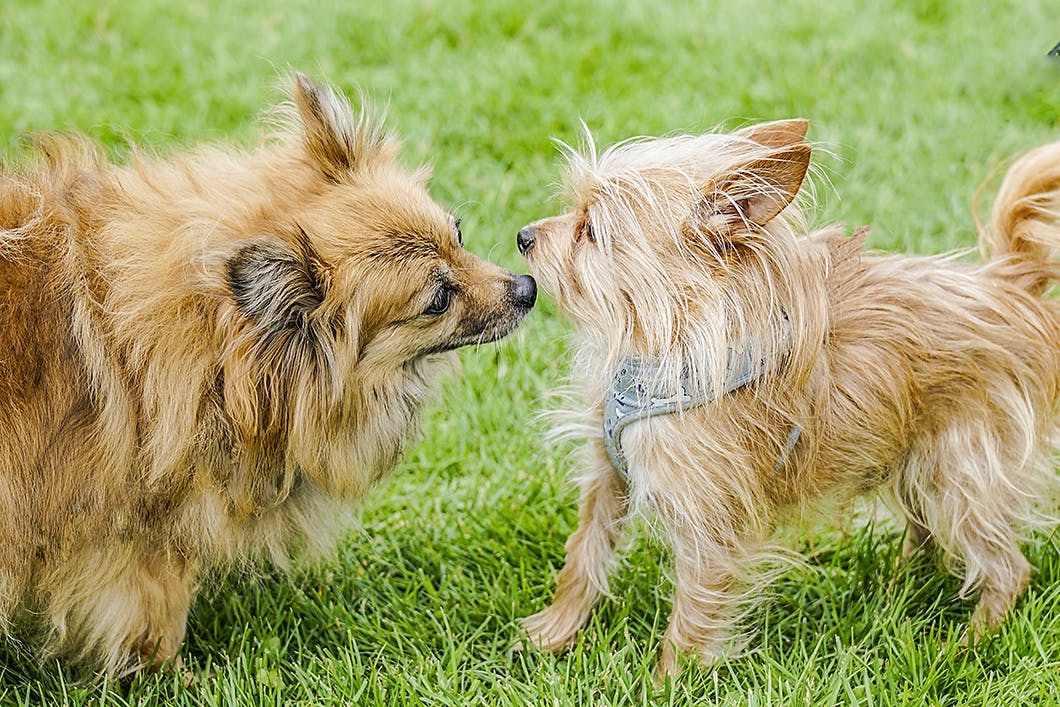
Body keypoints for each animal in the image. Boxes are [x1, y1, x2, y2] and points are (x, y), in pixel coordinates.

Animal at [0, 72, 534, 674]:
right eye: (439, 298)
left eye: (459, 236)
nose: (527, 287)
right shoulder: (141, 538)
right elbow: (157, 610)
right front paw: (173, 675)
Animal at [517, 118, 1055, 678]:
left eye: (591, 231)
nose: (523, 236)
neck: (664, 348)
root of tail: (1009, 284)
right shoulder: (609, 477)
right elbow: (583, 556)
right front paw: (552, 634)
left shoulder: (713, 521)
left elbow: (692, 612)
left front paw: (667, 682)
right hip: (917, 461)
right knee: (926, 532)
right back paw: (898, 585)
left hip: (960, 473)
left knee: (1008, 566)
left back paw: (969, 641)